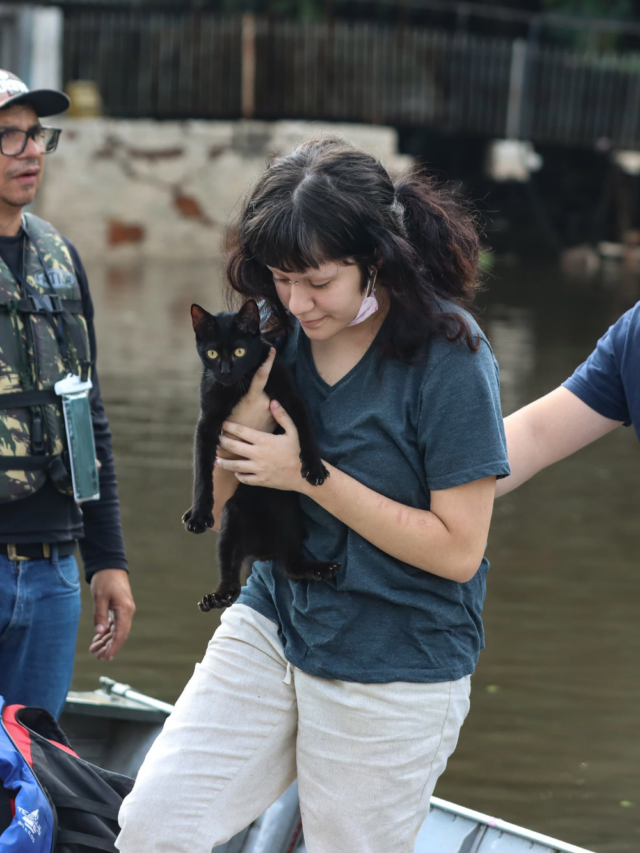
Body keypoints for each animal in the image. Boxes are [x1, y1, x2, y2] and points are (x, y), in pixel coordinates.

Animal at [184, 296, 340, 608]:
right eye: (212, 353)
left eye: (240, 351)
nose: (225, 371)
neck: (238, 388)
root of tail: (262, 549)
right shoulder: (207, 422)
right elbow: (202, 473)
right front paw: (198, 515)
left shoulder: (291, 396)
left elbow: (306, 431)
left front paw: (314, 468)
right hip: (231, 522)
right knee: (231, 577)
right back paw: (215, 598)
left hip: (288, 519)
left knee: (290, 565)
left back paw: (321, 568)